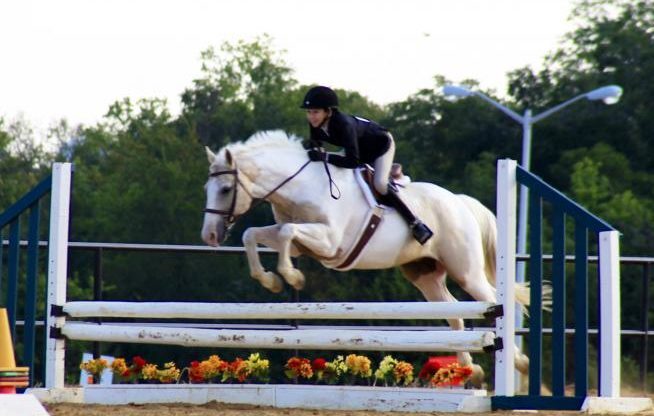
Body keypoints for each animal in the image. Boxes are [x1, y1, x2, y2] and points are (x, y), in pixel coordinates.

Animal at [201, 131, 532, 386]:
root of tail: (460, 202)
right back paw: (468, 371)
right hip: (425, 274)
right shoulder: (302, 246)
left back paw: (521, 364)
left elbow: (285, 233)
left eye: (226, 189)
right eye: (208, 188)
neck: (301, 186)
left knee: (494, 301)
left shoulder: (330, 242)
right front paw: (270, 281)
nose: (210, 236)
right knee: (454, 314)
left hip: (466, 271)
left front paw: (292, 277)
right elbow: (256, 235)